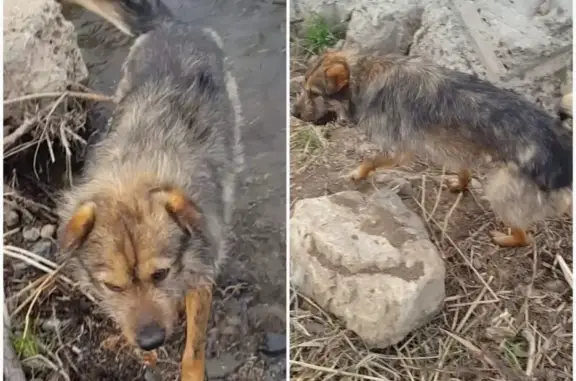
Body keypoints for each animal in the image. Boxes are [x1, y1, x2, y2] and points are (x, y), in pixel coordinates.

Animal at [56, 0, 241, 378]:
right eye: (113, 286)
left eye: (160, 273)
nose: (151, 341)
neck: (136, 171)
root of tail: (172, 26)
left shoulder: (201, 270)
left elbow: (195, 343)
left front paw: (192, 372)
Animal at [292, 49, 572, 246]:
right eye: (303, 88)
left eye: (314, 93)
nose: (293, 113)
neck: (365, 74)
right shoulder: (457, 147)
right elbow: (464, 171)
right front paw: (461, 184)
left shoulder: (397, 150)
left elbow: (370, 160)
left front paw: (357, 174)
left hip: (500, 192)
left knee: (525, 238)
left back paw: (507, 240)